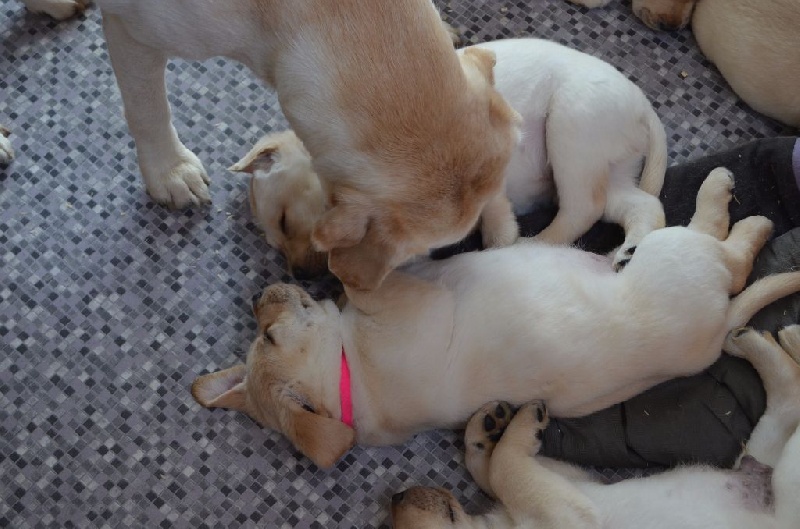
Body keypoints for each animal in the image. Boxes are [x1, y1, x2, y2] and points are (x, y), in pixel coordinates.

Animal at [191, 168, 800, 466]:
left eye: (263, 335)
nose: (258, 297)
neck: (348, 376)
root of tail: (720, 326)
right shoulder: (403, 302)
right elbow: (354, 276)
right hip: (678, 257)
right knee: (725, 247)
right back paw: (737, 208)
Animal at [233, 37, 668, 274]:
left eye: (285, 220)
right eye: (275, 242)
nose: (301, 277)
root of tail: (644, 105)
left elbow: (492, 220)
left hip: (572, 129)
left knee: (582, 208)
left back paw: (533, 247)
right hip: (608, 167)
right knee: (643, 207)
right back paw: (628, 252)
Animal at [390, 326, 800, 528]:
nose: (396, 497)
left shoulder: (567, 489)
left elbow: (497, 469)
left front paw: (488, 430)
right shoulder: (569, 503)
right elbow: (506, 471)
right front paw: (505, 429)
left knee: (788, 398)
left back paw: (759, 340)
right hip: (781, 466)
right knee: (788, 400)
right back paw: (762, 341)